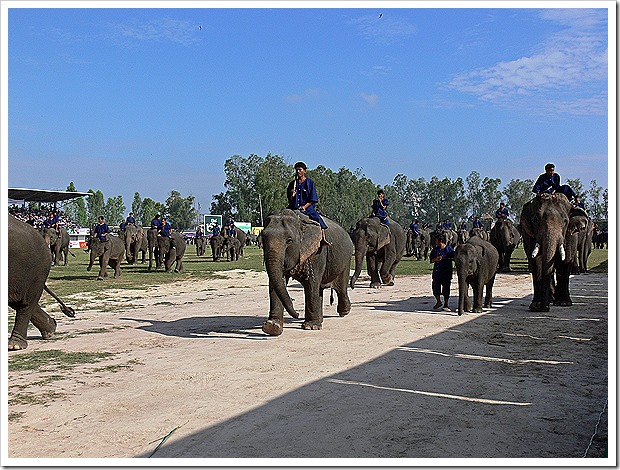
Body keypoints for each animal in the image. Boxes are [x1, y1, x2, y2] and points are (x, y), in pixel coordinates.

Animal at [8, 215, 75, 350]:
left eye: (53, 237)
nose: (71, 312)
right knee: (20, 301)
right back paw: (51, 329)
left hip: (38, 270)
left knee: (26, 303)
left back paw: (15, 345)